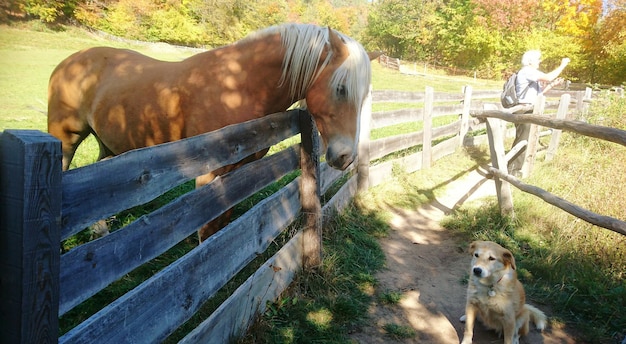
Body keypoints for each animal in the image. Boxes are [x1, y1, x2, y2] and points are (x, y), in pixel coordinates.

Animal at [46, 22, 378, 242]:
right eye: (340, 88)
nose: (345, 157)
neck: (237, 84)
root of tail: (69, 62)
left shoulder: (237, 170)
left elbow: (223, 220)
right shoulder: (208, 174)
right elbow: (207, 228)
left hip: (111, 145)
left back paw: (100, 232)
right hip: (65, 138)